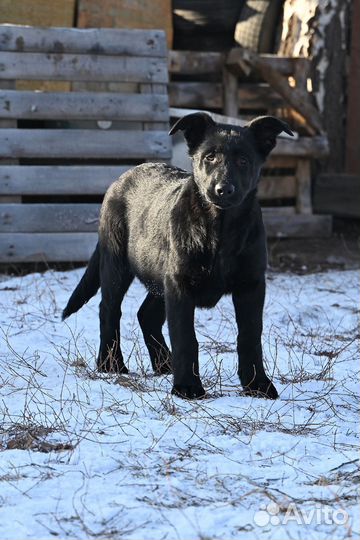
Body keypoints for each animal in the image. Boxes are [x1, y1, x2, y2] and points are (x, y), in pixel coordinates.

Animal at [62, 113, 292, 400]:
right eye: (209, 157)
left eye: (243, 160)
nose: (223, 189)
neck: (220, 228)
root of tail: (122, 177)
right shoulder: (180, 284)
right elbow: (185, 337)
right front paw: (187, 387)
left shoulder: (251, 285)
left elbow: (250, 336)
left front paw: (257, 385)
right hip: (116, 263)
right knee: (109, 309)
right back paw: (110, 364)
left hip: (159, 278)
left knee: (146, 315)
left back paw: (164, 364)